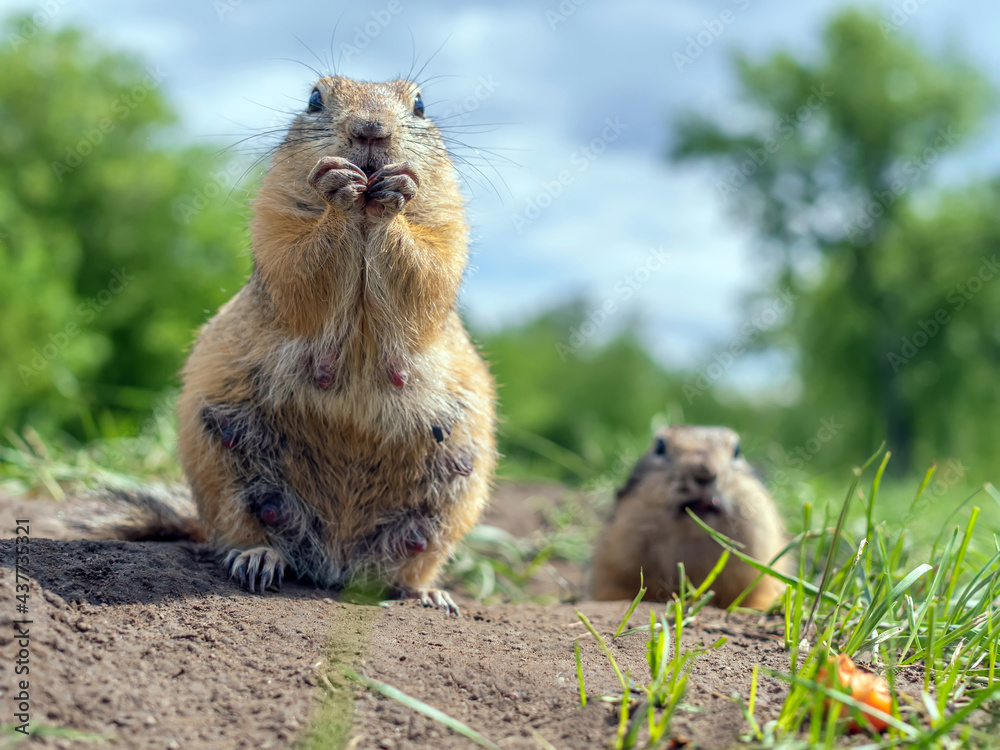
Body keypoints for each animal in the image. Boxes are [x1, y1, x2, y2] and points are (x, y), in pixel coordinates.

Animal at [97, 78, 496, 616]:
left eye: (419, 104)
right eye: (314, 99)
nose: (371, 129)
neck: (363, 220)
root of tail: (334, 564)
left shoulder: (447, 221)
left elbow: (431, 262)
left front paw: (397, 192)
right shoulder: (274, 213)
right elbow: (295, 258)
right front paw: (337, 187)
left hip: (449, 502)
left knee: (405, 565)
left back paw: (427, 594)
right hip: (226, 474)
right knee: (238, 533)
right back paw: (258, 559)